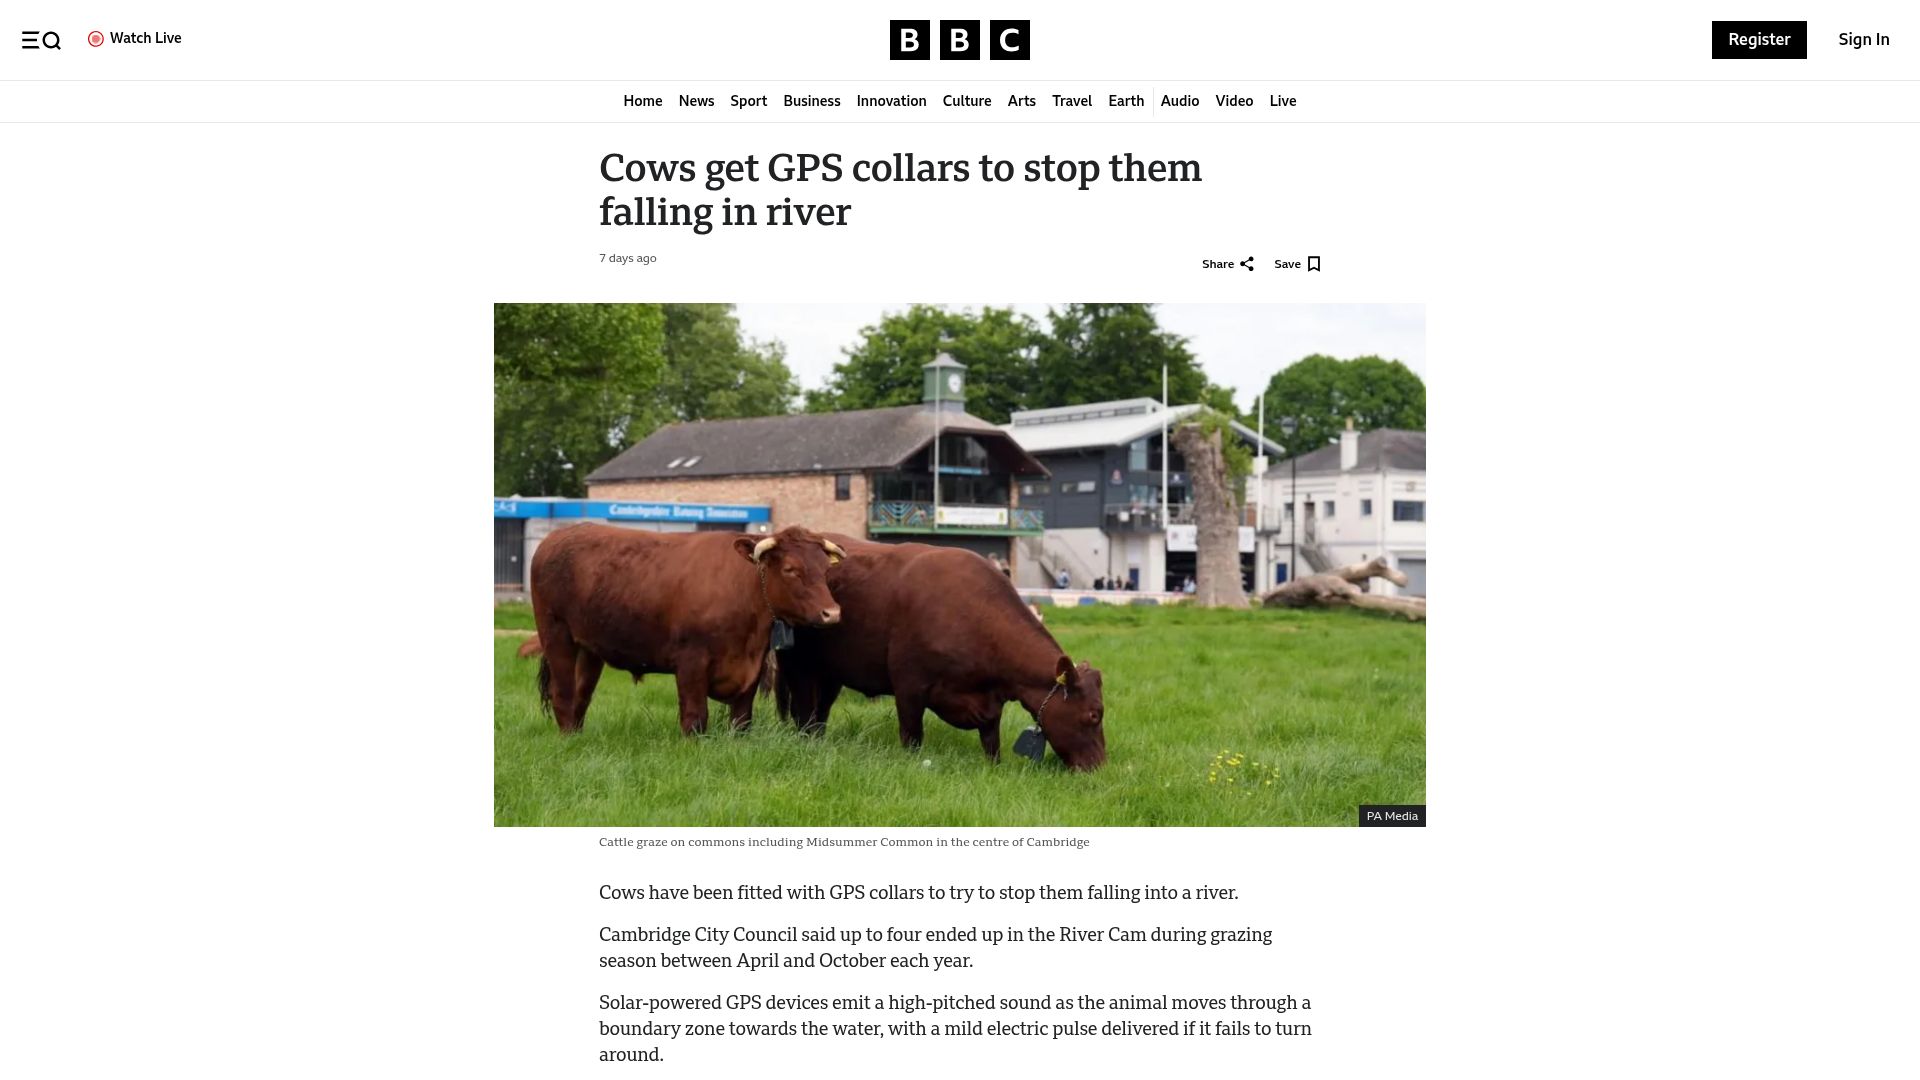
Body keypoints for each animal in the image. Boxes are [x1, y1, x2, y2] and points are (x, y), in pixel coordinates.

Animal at [528, 524, 846, 736]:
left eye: (825, 569)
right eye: (791, 569)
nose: (832, 613)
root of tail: (557, 536)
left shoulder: (752, 667)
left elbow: (742, 720)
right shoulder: (691, 661)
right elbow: (695, 717)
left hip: (589, 648)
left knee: (581, 696)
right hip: (556, 635)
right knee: (563, 694)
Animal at [771, 535, 1107, 771]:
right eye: (1094, 714)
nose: (1100, 767)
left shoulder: (990, 704)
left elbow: (992, 744)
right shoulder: (909, 687)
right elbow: (912, 736)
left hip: (831, 674)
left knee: (820, 713)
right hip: (796, 666)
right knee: (803, 711)